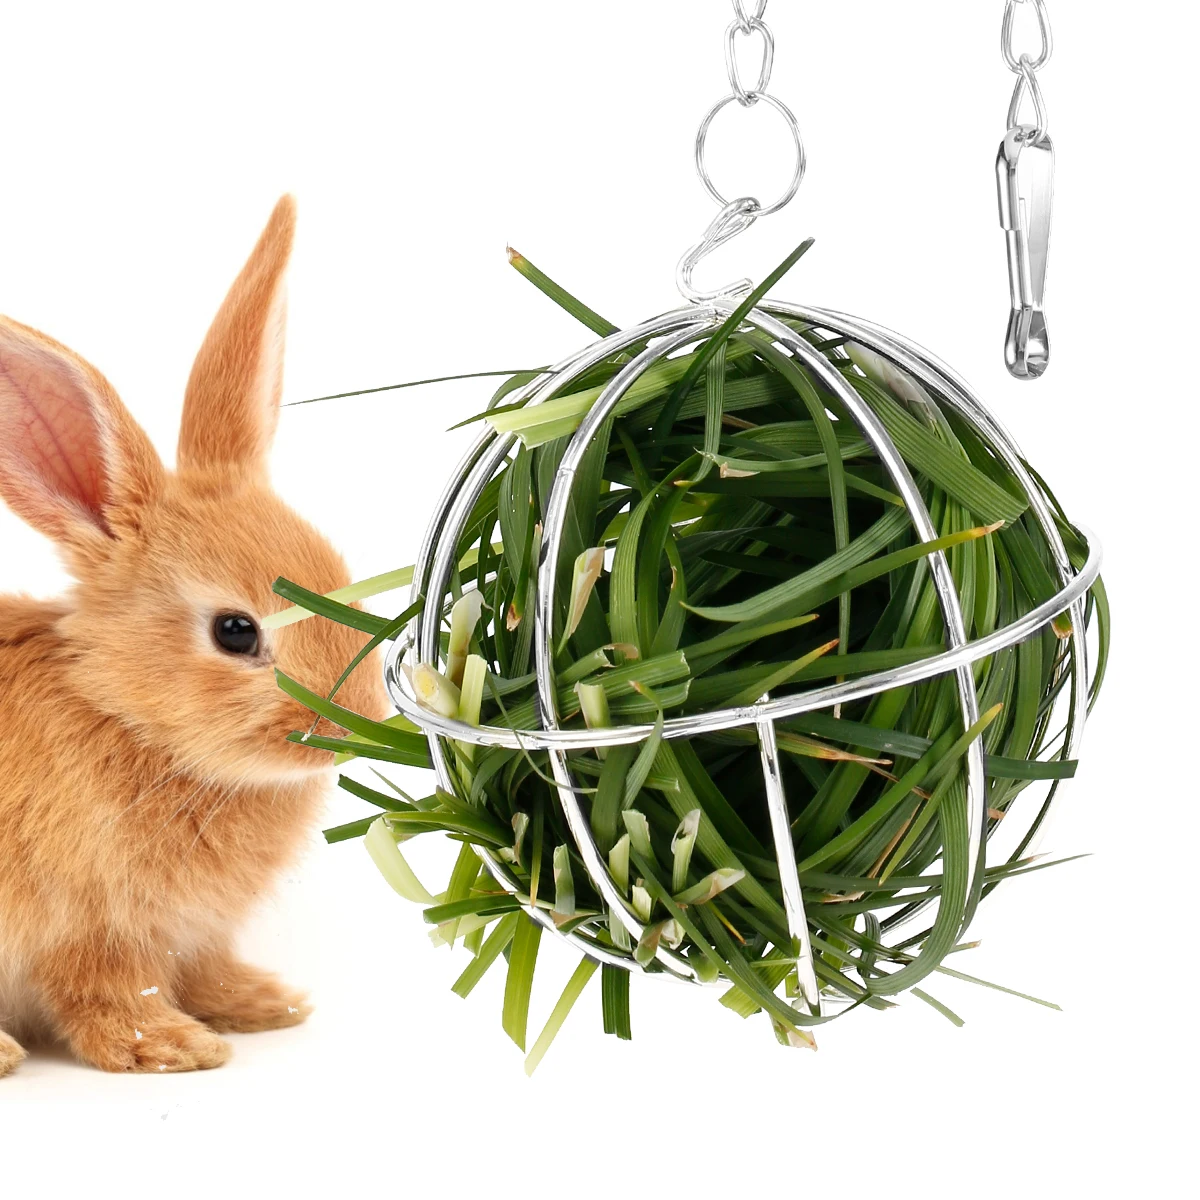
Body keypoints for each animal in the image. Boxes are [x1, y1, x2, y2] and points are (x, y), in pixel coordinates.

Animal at [0, 196, 388, 1076]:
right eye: (236, 632)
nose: (353, 725)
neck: (123, 715)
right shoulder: (89, 927)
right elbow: (109, 993)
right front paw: (172, 1048)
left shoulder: (192, 932)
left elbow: (204, 967)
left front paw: (263, 1004)